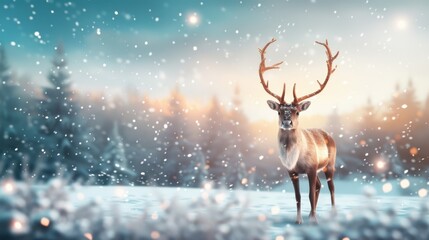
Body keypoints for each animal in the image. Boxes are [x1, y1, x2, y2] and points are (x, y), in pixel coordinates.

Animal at [258, 37, 338, 223]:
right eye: (279, 111)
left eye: (297, 111)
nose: (287, 122)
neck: (295, 158)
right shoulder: (292, 172)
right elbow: (298, 197)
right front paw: (299, 220)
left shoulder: (311, 167)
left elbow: (309, 195)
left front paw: (314, 221)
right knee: (320, 186)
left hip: (329, 164)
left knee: (331, 187)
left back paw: (332, 214)